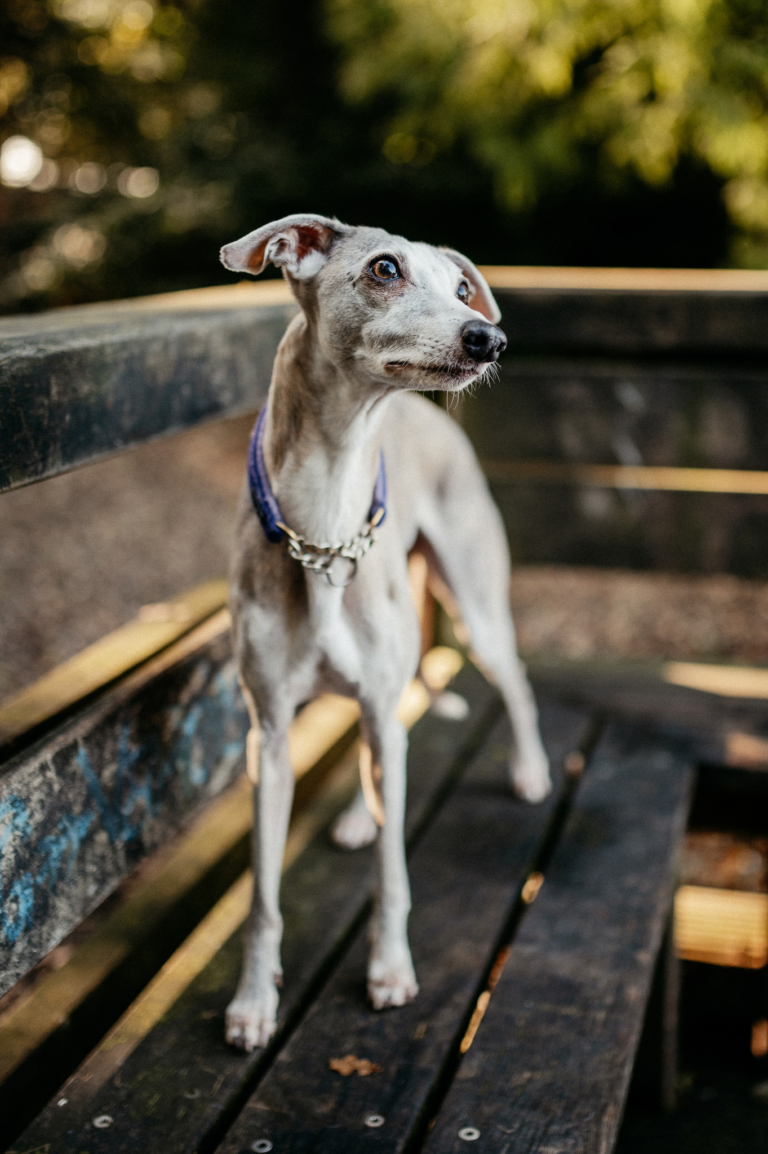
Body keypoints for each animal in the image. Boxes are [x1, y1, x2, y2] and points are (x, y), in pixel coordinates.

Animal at [217, 212, 546, 1052]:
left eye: (462, 286)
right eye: (385, 268)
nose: (488, 338)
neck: (325, 526)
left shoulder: (378, 707)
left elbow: (395, 877)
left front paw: (391, 969)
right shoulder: (269, 738)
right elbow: (262, 899)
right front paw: (252, 1001)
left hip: (475, 604)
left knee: (513, 683)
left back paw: (530, 770)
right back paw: (360, 819)